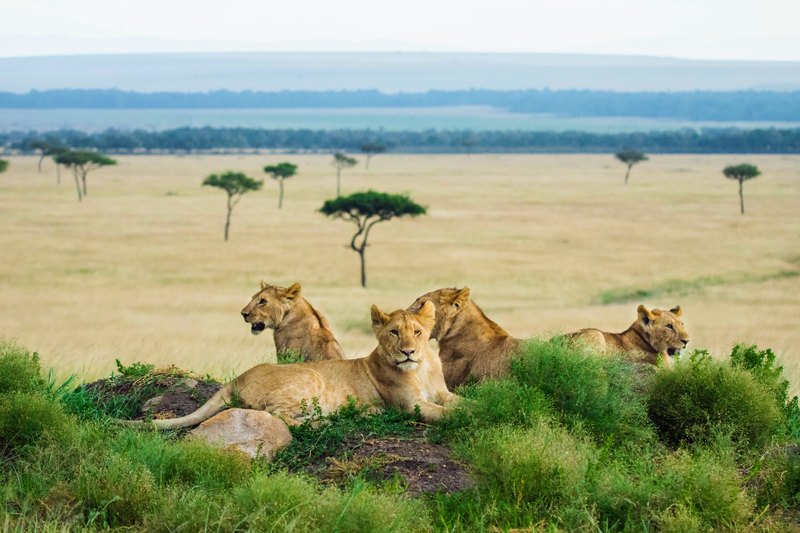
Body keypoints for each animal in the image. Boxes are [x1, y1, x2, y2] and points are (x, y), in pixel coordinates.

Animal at [142, 300, 462, 428]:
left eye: (417, 332)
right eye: (394, 332)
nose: (408, 352)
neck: (421, 368)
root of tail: (238, 378)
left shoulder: (442, 393)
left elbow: (462, 403)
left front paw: (472, 408)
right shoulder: (410, 405)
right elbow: (446, 414)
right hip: (309, 377)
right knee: (277, 415)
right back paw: (329, 421)